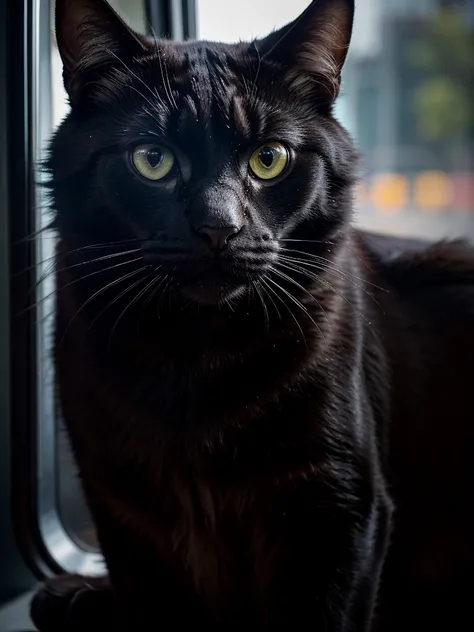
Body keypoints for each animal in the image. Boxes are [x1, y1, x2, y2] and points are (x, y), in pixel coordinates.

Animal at [31, 1, 472, 632]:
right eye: (152, 160)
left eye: (270, 160)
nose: (219, 227)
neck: (194, 358)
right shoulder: (124, 515)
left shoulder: (339, 508)